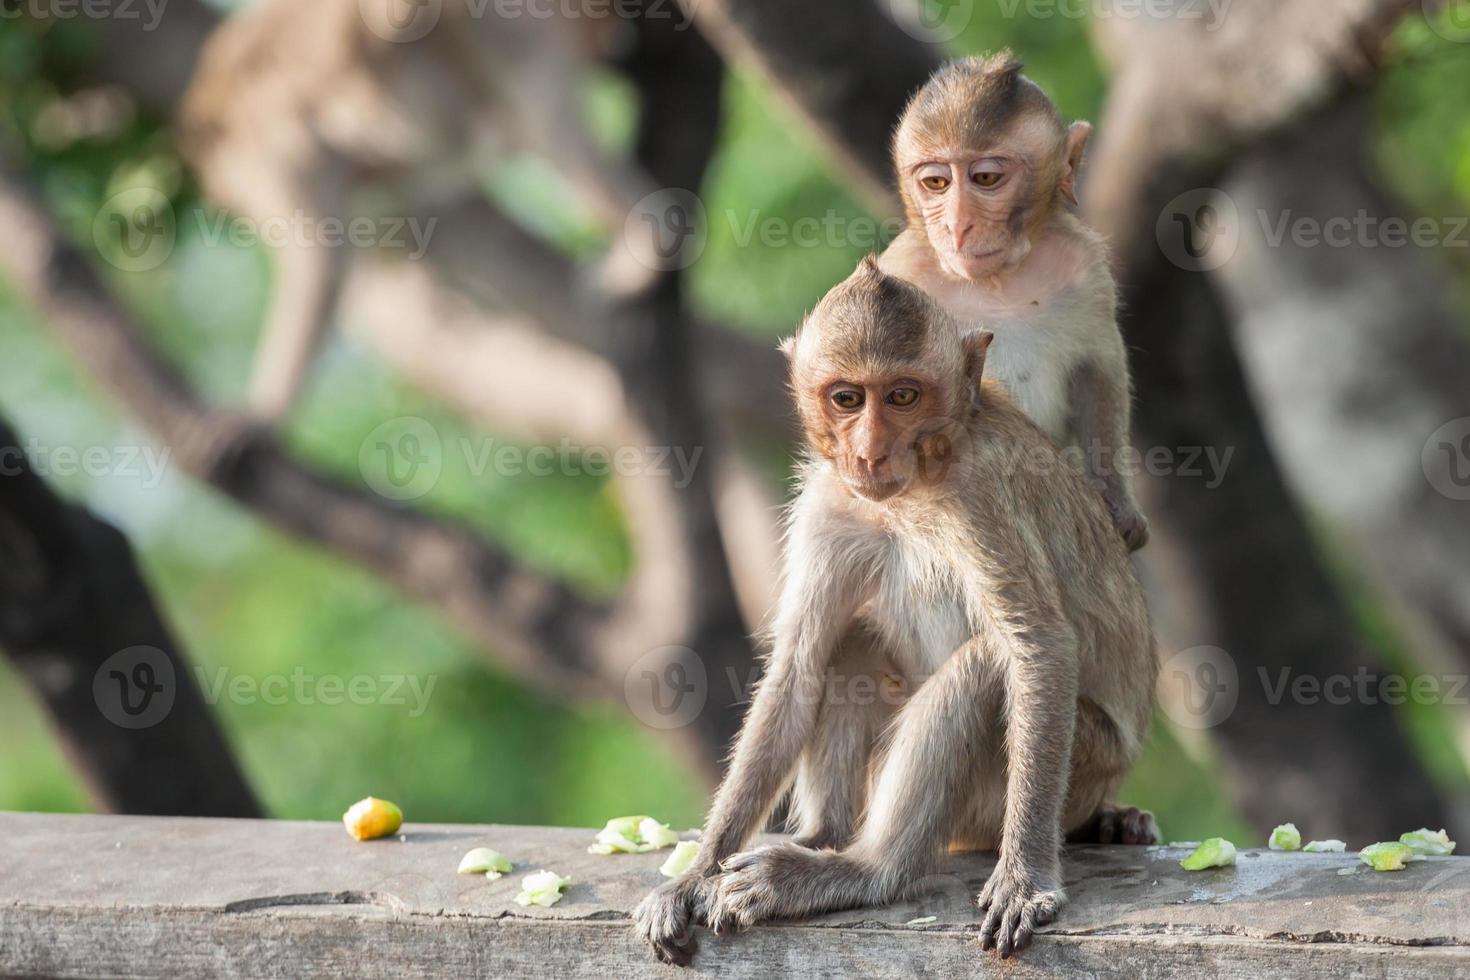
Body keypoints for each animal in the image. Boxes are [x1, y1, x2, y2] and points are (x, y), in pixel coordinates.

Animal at [177, 0, 655, 417]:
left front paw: (261, 414)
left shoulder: (278, 144)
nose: (236, 201)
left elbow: (324, 265)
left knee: (538, 118)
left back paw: (648, 240)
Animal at [632, 255, 1158, 963]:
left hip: (1083, 765)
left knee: (983, 667)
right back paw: (825, 837)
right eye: (847, 398)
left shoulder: (980, 494)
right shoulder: (830, 504)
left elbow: (1038, 645)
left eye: (903, 397)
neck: (913, 490)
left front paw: (1025, 879)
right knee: (850, 644)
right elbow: (798, 669)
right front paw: (694, 876)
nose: (870, 450)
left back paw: (868, 870)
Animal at [870, 51, 1146, 552]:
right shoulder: (901, 271)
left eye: (985, 178)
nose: (957, 225)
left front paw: (1116, 501)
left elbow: (1097, 367)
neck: (994, 284)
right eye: (936, 183)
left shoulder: (1084, 265)